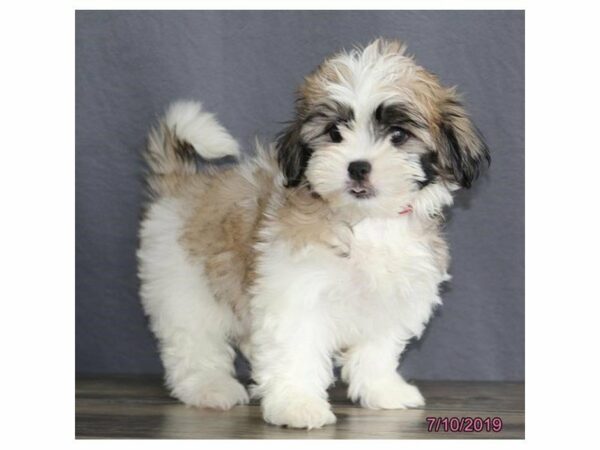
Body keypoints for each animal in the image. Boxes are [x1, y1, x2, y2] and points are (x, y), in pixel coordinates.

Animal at [138, 39, 490, 428]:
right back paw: (209, 387)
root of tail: (182, 186)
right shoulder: (296, 291)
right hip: (183, 285)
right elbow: (295, 349)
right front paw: (296, 403)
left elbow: (377, 350)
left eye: (398, 135)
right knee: (194, 341)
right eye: (334, 133)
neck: (367, 222)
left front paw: (383, 390)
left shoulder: (392, 297)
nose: (358, 167)